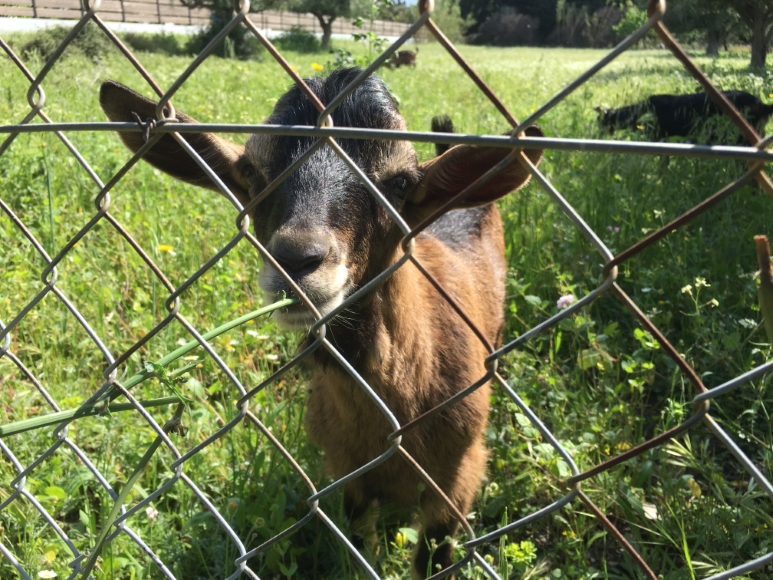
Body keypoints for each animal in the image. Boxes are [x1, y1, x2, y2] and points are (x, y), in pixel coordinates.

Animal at [101, 69, 544, 580]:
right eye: (252, 171)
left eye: (398, 181)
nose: (296, 259)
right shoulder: (346, 472)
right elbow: (357, 544)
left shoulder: (457, 478)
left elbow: (433, 558)